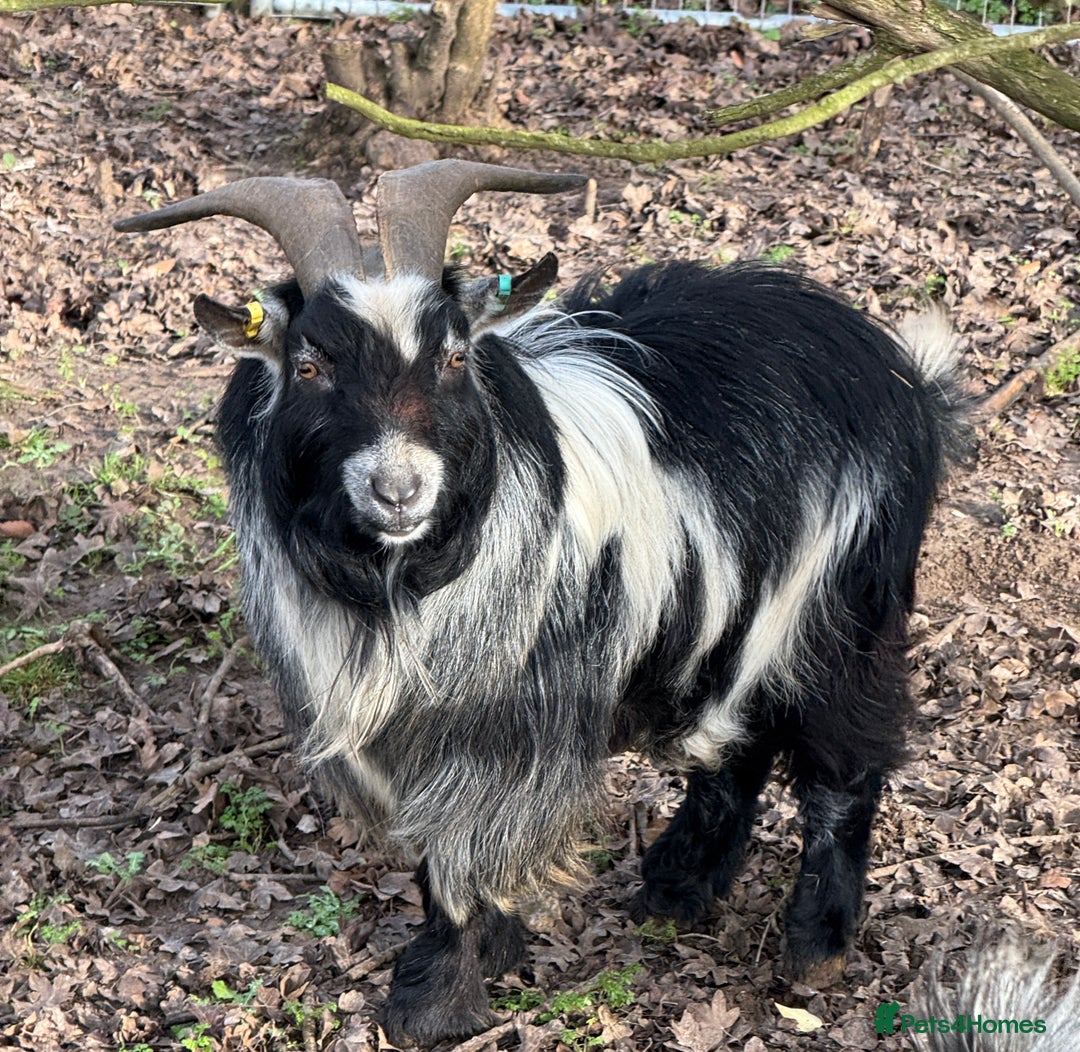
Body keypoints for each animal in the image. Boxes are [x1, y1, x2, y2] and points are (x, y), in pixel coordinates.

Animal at [115, 160, 965, 1046]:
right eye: (309, 366)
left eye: (455, 355)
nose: (398, 489)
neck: (402, 581)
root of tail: (899, 369)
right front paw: (489, 952)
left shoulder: (500, 721)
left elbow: (458, 851)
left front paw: (436, 1001)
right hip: (738, 619)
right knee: (740, 740)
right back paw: (677, 886)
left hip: (848, 609)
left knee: (846, 762)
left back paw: (816, 943)